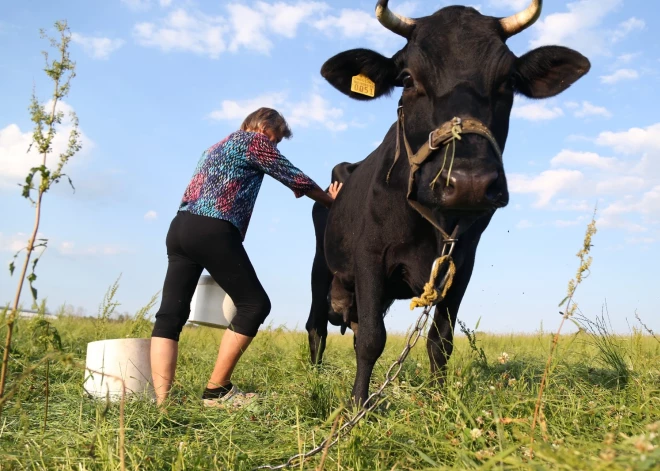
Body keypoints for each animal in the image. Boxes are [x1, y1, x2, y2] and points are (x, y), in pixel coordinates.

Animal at [304, 0, 588, 406]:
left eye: (508, 81)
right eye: (407, 78)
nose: (469, 183)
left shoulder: (462, 263)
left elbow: (440, 340)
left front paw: (440, 401)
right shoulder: (369, 255)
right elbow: (372, 339)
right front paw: (358, 405)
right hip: (320, 268)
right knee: (317, 327)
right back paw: (313, 381)